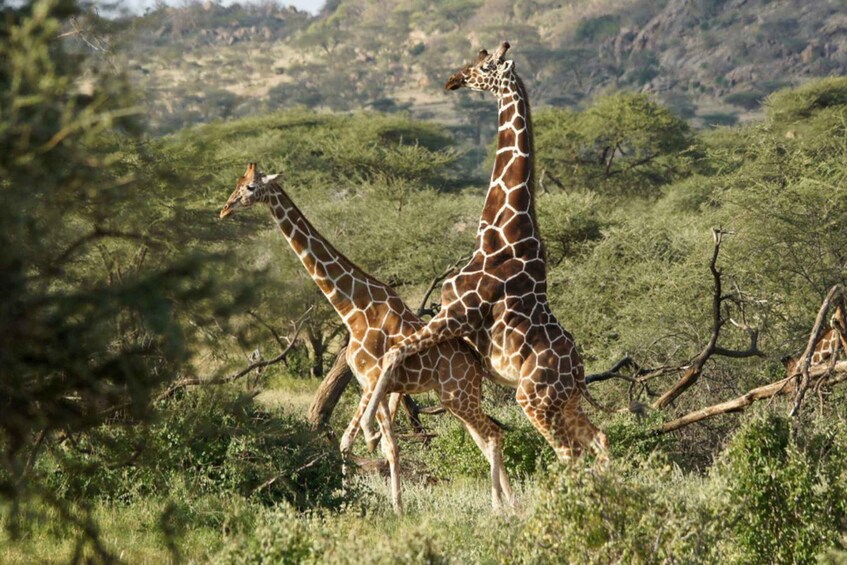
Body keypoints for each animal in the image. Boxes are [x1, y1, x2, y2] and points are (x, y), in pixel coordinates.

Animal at [219, 163, 512, 513]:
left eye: (250, 188)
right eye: (236, 184)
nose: (224, 209)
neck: (354, 308)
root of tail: (477, 362)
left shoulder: (373, 379)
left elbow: (377, 444)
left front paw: (390, 507)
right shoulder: (371, 384)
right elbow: (364, 443)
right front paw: (358, 501)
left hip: (458, 395)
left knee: (493, 436)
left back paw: (502, 509)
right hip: (454, 398)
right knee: (485, 438)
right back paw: (513, 504)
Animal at [362, 42, 608, 462]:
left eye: (486, 64)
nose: (453, 79)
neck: (499, 236)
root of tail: (578, 372)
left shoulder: (455, 315)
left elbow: (394, 353)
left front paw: (368, 429)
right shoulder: (457, 330)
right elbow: (398, 356)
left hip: (534, 399)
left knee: (570, 453)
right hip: (566, 402)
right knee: (599, 440)